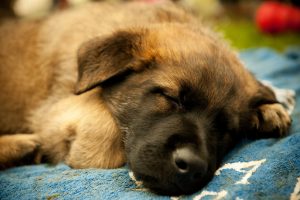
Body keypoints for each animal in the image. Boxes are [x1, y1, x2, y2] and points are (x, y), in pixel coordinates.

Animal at [0, 1, 290, 195]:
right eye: (170, 97)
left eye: (226, 128)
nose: (192, 166)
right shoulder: (53, 106)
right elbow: (105, 127)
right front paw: (84, 154)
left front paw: (269, 110)